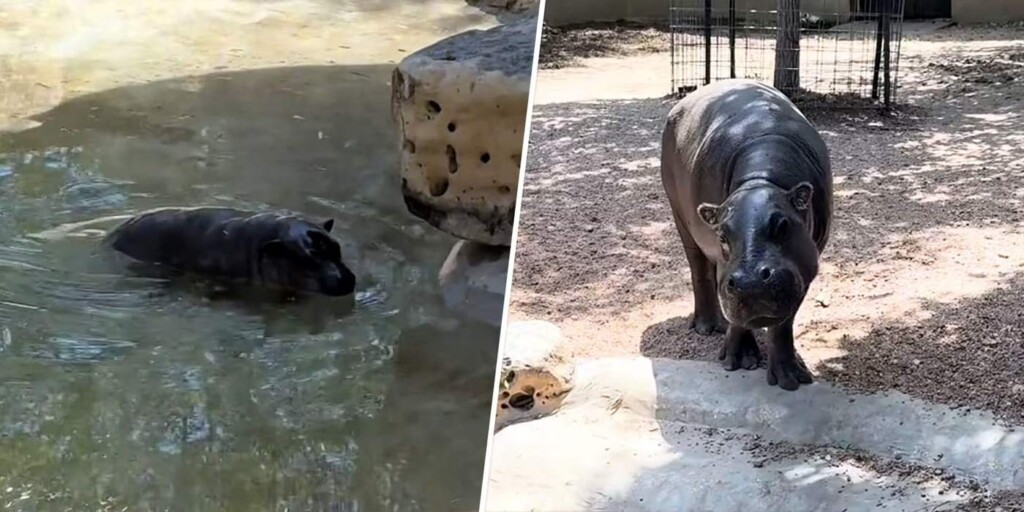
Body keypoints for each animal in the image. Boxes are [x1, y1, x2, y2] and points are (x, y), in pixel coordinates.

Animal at [660, 79, 833, 391]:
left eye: (783, 225)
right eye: (722, 236)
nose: (751, 282)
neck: (761, 181)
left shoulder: (804, 268)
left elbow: (783, 323)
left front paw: (792, 378)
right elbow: (734, 308)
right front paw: (738, 361)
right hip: (681, 217)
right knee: (700, 270)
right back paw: (707, 328)